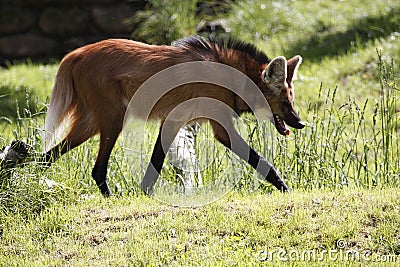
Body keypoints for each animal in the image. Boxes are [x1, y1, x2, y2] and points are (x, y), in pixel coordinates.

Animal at [42, 36, 304, 197]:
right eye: (285, 102)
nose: (300, 123)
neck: (231, 78)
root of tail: (75, 54)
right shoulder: (217, 125)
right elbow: (261, 161)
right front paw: (286, 189)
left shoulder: (175, 120)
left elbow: (157, 159)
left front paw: (145, 192)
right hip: (114, 119)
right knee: (97, 168)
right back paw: (110, 198)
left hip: (92, 123)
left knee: (46, 156)